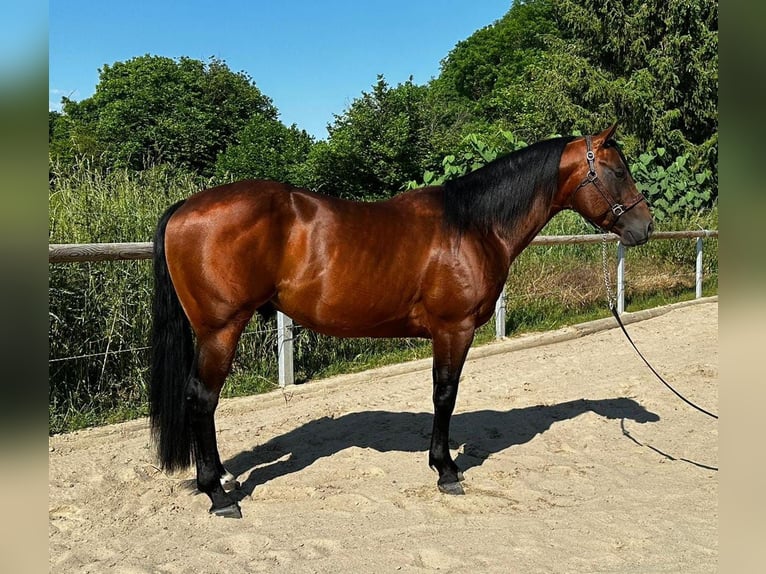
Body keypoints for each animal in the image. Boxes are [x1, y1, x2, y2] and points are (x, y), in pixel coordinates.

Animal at [148, 124, 656, 520]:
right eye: (617, 171)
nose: (645, 227)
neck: (473, 225)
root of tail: (184, 207)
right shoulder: (454, 329)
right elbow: (445, 395)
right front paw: (446, 469)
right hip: (221, 330)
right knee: (202, 400)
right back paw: (217, 494)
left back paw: (223, 479)